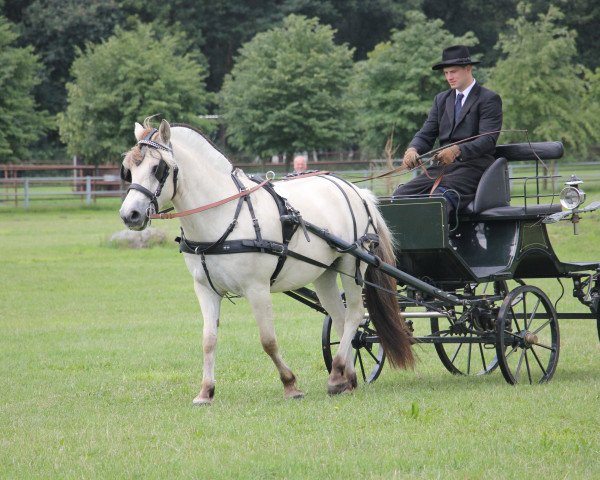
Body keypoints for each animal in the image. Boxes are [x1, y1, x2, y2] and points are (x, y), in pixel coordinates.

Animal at [119, 118, 414, 404]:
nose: (129, 215)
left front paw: (290, 385)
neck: (225, 216)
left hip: (352, 265)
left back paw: (337, 376)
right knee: (341, 321)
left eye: (158, 168)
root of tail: (355, 190)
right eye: (128, 170)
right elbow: (208, 340)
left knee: (354, 315)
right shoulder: (205, 289)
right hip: (324, 273)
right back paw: (346, 378)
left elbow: (268, 340)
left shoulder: (257, 288)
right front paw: (205, 392)